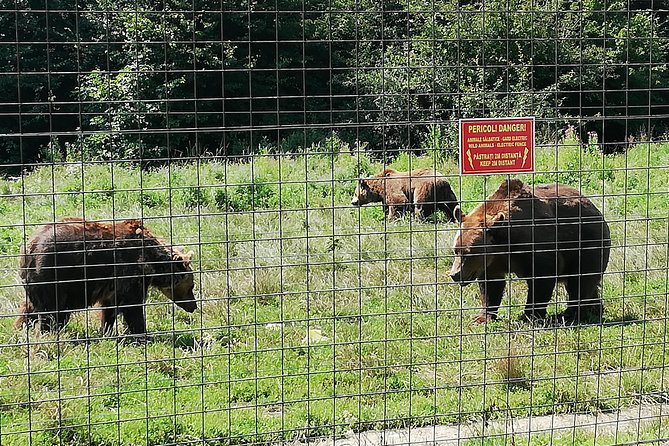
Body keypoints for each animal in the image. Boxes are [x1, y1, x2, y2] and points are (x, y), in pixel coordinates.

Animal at [14, 217, 197, 335]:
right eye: (192, 285)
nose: (193, 306)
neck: (152, 262)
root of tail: (29, 247)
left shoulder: (114, 284)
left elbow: (109, 308)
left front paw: (106, 330)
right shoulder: (129, 272)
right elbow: (132, 306)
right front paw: (141, 334)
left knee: (30, 306)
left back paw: (21, 328)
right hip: (53, 273)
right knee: (51, 310)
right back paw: (50, 333)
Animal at [449, 179, 611, 324]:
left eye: (469, 252)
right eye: (456, 250)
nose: (455, 274)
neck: (504, 244)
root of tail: (594, 208)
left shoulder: (535, 244)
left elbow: (542, 278)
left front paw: (529, 315)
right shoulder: (492, 261)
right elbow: (491, 286)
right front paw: (482, 317)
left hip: (586, 244)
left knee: (581, 281)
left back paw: (570, 314)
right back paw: (594, 308)